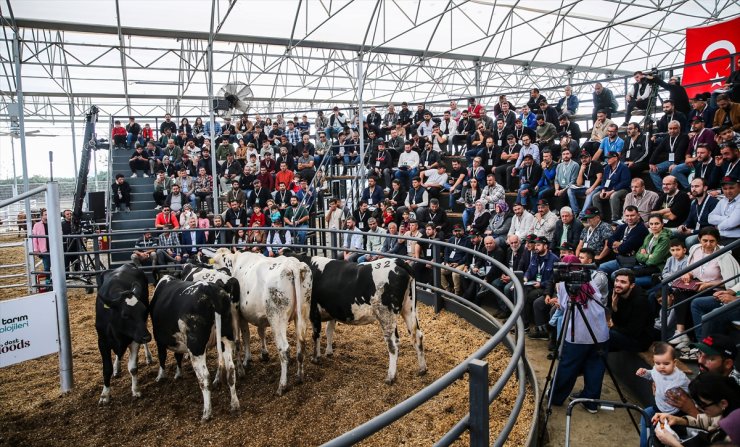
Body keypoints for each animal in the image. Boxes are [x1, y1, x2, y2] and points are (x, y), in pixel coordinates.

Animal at [96, 266, 152, 406]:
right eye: (125, 314)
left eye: (143, 311)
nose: (147, 337)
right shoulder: (102, 341)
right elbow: (107, 369)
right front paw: (105, 395)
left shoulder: (135, 338)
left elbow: (133, 368)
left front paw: (135, 389)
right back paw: (117, 367)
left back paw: (148, 357)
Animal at [151, 276, 240, 420]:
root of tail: (209, 289)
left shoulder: (159, 339)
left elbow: (162, 357)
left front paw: (161, 376)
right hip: (226, 338)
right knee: (231, 370)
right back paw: (234, 404)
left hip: (196, 347)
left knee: (204, 377)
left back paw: (206, 413)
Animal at [211, 248, 312, 396]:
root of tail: (292, 264)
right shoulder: (260, 317)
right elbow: (260, 332)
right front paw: (263, 354)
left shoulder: (238, 314)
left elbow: (243, 338)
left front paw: (245, 362)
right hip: (303, 312)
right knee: (301, 343)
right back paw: (300, 376)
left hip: (277, 318)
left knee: (284, 349)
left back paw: (282, 386)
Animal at [290, 252, 428, 384]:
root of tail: (397, 261)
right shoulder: (332, 311)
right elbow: (329, 331)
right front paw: (328, 352)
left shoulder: (313, 311)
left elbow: (316, 335)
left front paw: (316, 358)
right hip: (409, 308)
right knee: (417, 335)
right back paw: (422, 369)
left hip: (386, 315)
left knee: (393, 343)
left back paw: (390, 377)